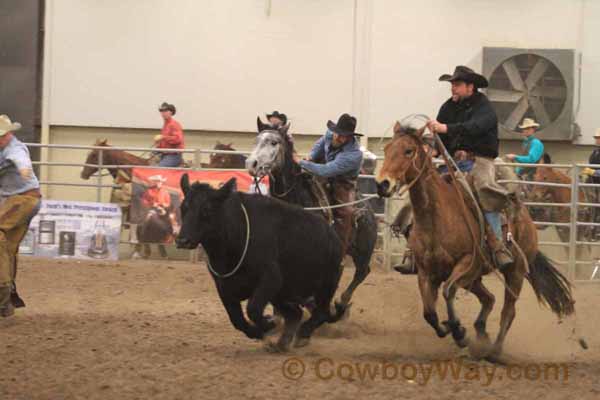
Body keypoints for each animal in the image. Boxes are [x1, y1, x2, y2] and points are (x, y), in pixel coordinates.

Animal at [246, 122, 378, 312]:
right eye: (256, 140)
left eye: (274, 142)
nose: (251, 164)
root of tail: (369, 211)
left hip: (363, 250)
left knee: (361, 272)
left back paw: (341, 301)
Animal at [376, 123, 576, 360]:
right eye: (387, 148)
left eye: (408, 151)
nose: (382, 184)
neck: (437, 217)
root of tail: (526, 216)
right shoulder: (426, 272)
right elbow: (429, 313)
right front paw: (452, 329)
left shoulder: (467, 262)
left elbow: (448, 291)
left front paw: (459, 332)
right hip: (475, 279)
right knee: (489, 298)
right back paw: (481, 335)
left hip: (515, 272)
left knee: (508, 311)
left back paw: (494, 350)